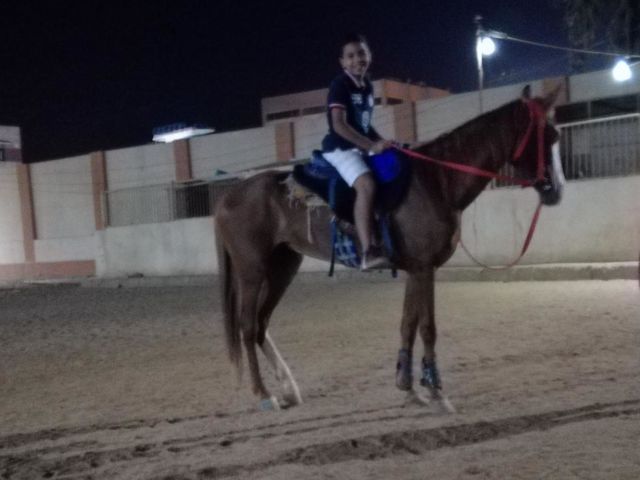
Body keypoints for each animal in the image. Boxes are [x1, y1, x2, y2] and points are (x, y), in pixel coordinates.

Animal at [214, 86, 565, 411]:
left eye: (558, 134)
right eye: (546, 135)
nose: (557, 190)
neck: (436, 181)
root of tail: (229, 196)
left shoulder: (415, 269)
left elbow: (407, 324)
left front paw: (408, 388)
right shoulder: (424, 268)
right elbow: (427, 327)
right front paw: (436, 392)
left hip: (283, 266)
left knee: (261, 324)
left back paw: (288, 389)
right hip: (251, 270)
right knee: (247, 326)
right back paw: (264, 395)